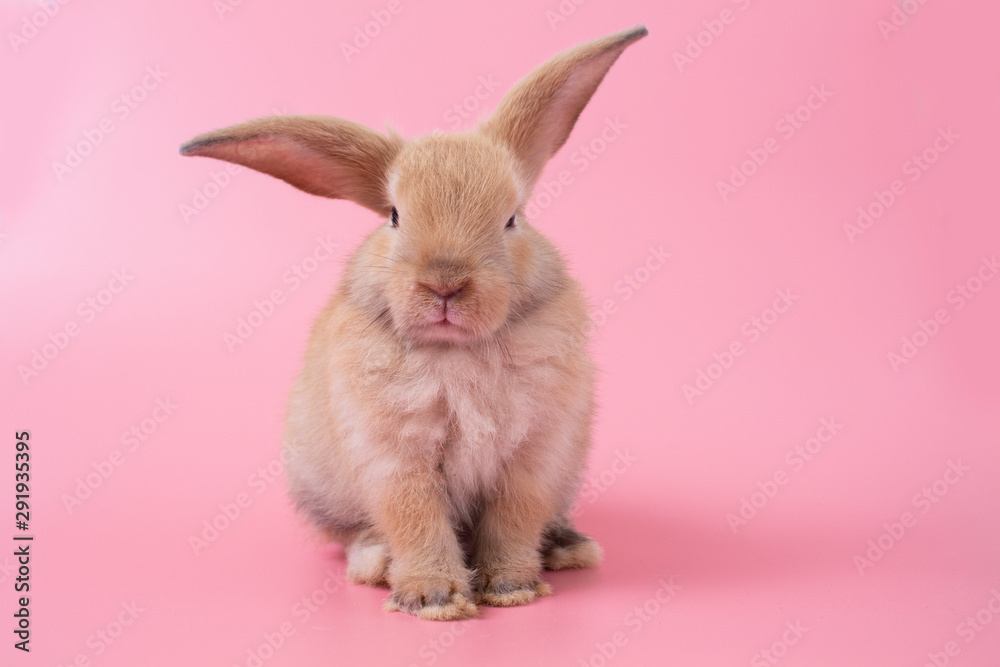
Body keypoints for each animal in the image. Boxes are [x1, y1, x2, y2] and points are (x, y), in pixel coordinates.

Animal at [180, 25, 648, 620]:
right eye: (394, 216)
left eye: (513, 218)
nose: (444, 284)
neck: (456, 350)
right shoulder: (396, 457)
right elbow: (415, 518)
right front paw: (434, 599)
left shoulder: (535, 453)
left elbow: (515, 517)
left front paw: (511, 587)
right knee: (353, 533)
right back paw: (374, 561)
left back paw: (569, 548)